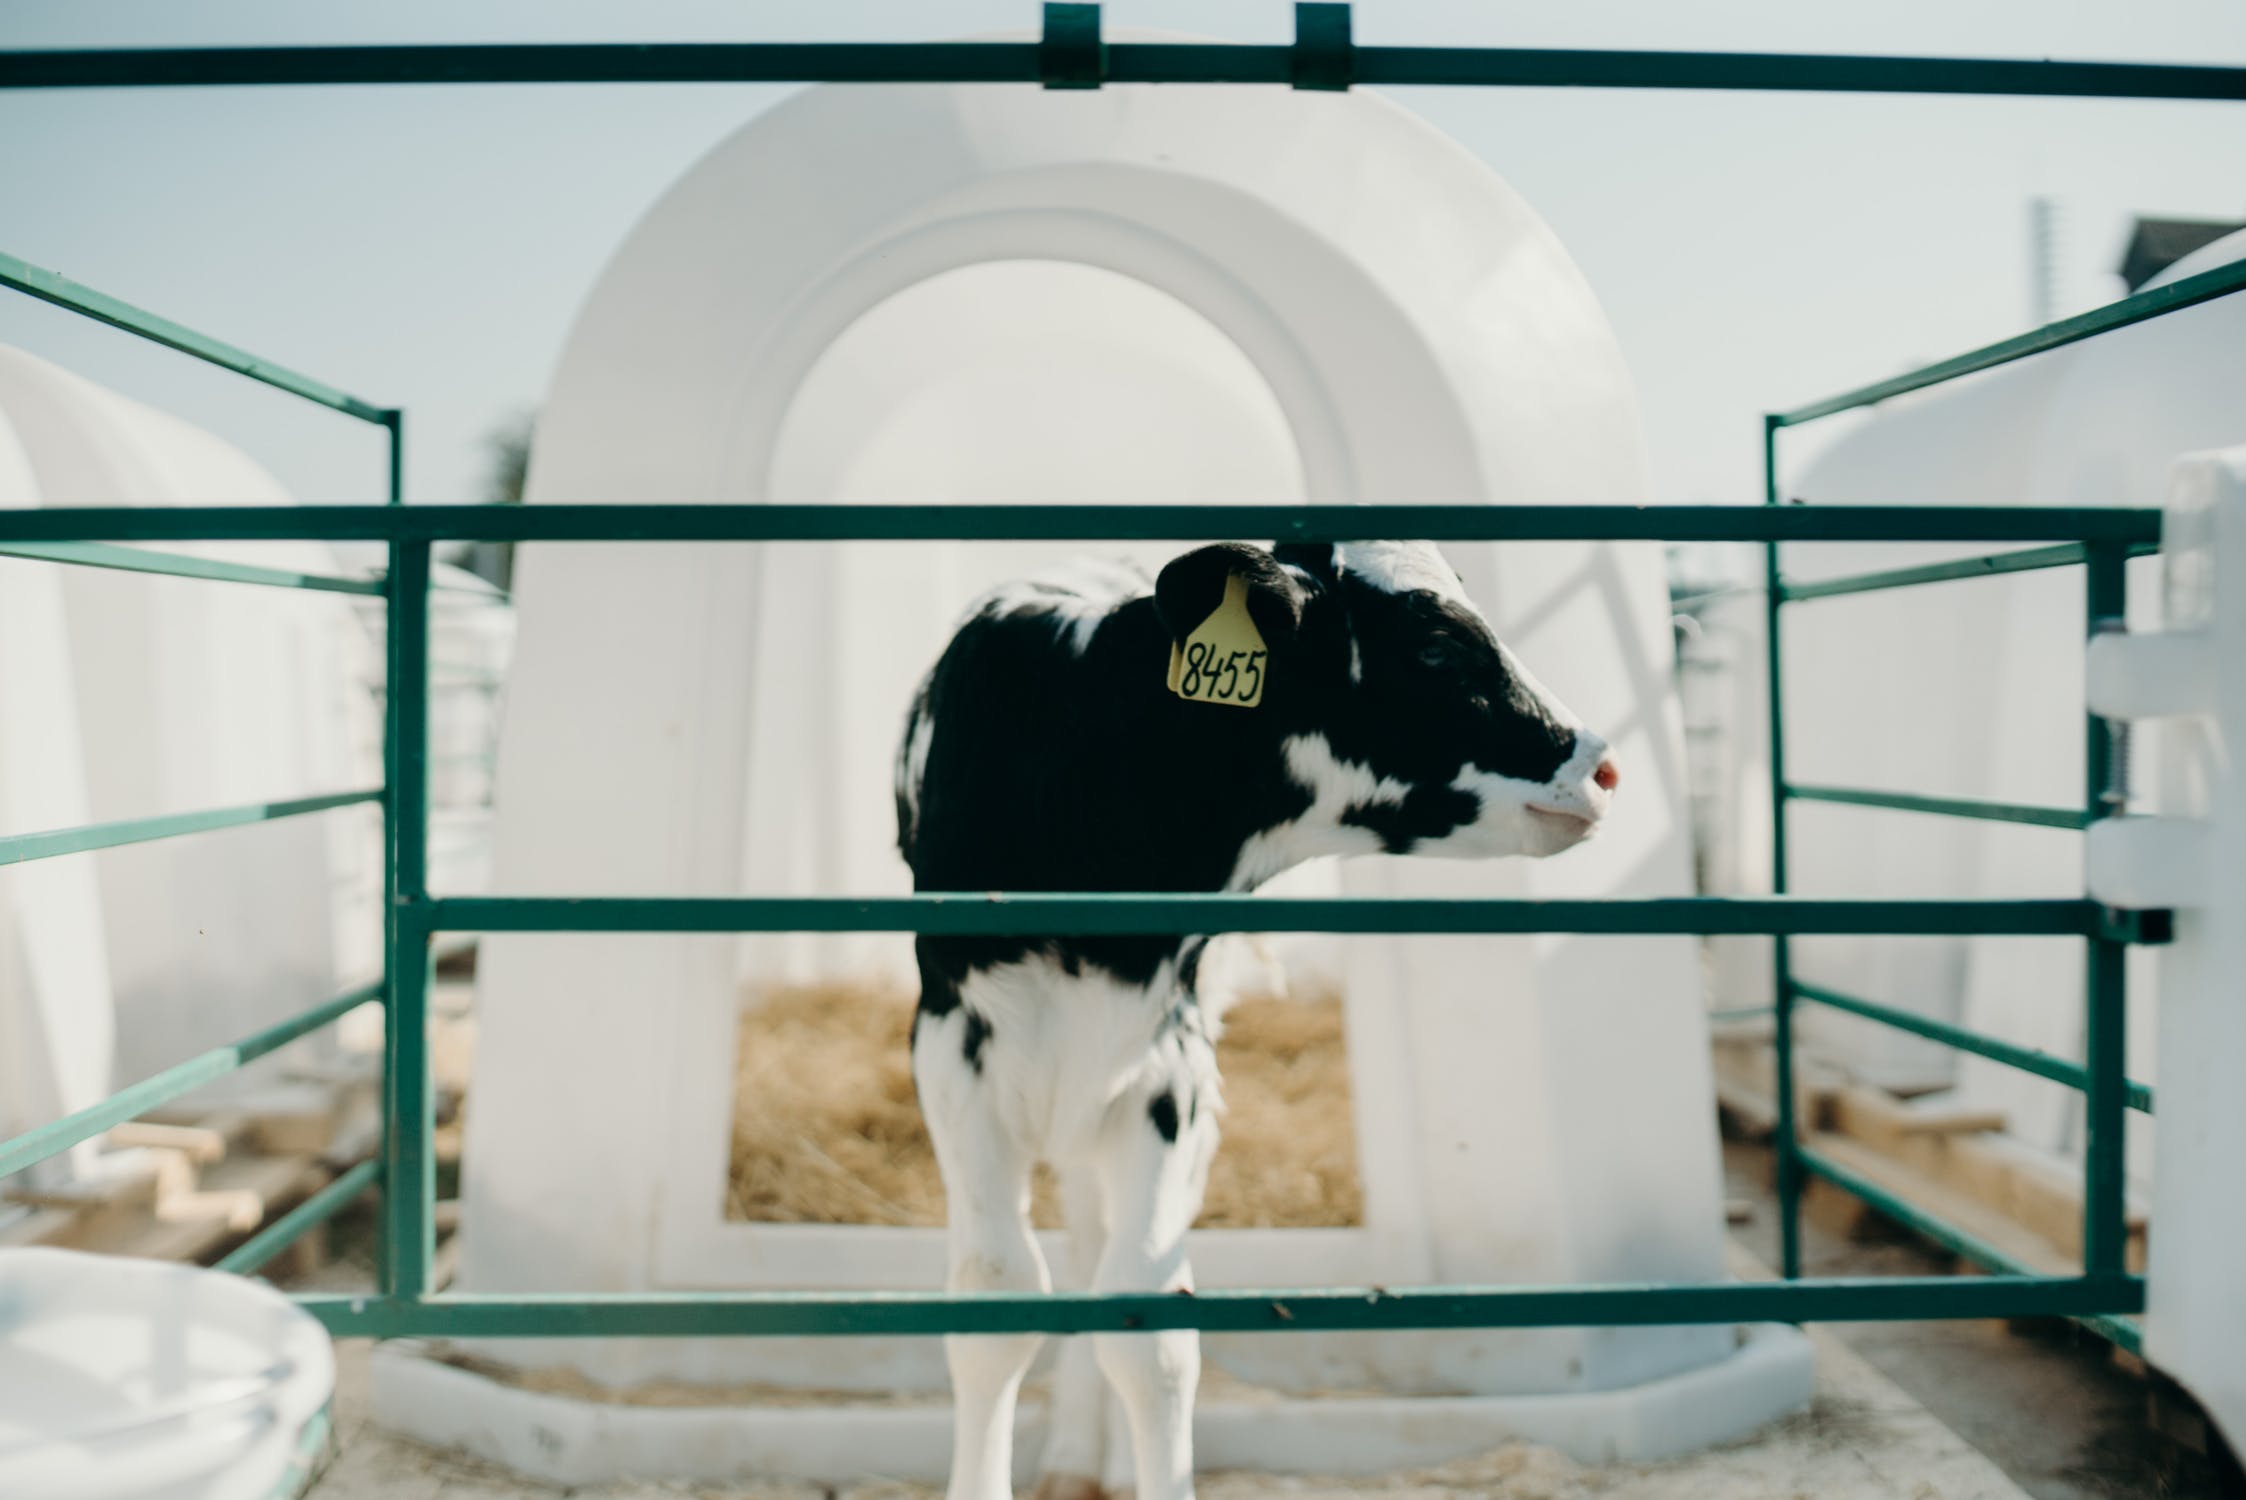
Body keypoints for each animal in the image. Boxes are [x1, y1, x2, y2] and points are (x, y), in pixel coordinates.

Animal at [902, 538, 1626, 1500]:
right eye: (1435, 649)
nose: (1602, 767)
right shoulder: (953, 1052)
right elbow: (996, 1301)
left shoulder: (1168, 1068)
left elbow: (1150, 1329)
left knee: (1101, 1242)